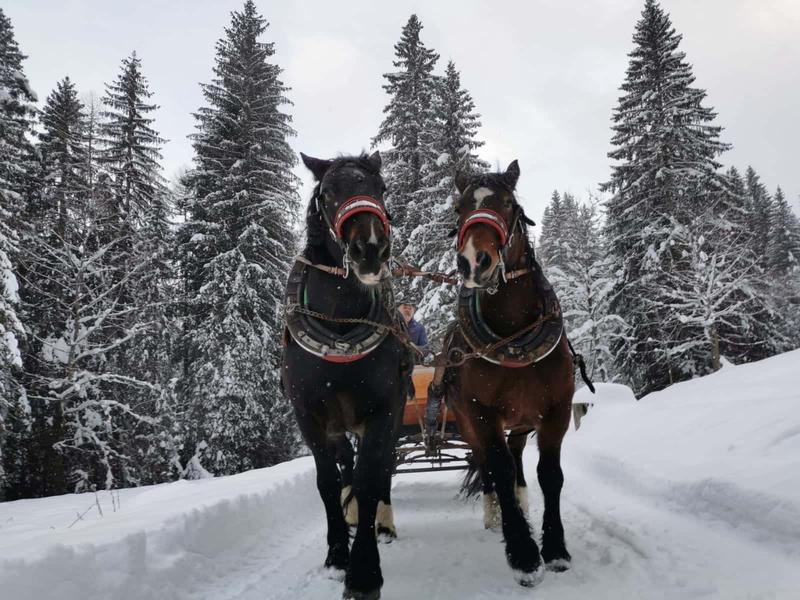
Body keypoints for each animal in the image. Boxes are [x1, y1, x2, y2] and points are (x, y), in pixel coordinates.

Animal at [282, 151, 409, 600]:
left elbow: (371, 479)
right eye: (328, 192)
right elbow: (327, 482)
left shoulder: (383, 412)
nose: (370, 247)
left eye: (381, 187)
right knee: (344, 467)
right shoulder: (309, 416)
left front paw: (365, 571)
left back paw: (382, 523)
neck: (339, 324)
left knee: (382, 468)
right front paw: (338, 551)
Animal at [438, 160, 576, 586]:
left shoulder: (557, 410)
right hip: (468, 423)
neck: (513, 333)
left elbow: (550, 474)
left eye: (508, 205)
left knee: (515, 460)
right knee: (488, 465)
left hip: (521, 421)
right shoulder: (482, 413)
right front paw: (523, 553)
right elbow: (497, 469)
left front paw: (555, 547)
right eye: (458, 208)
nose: (473, 261)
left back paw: (520, 499)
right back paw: (493, 513)